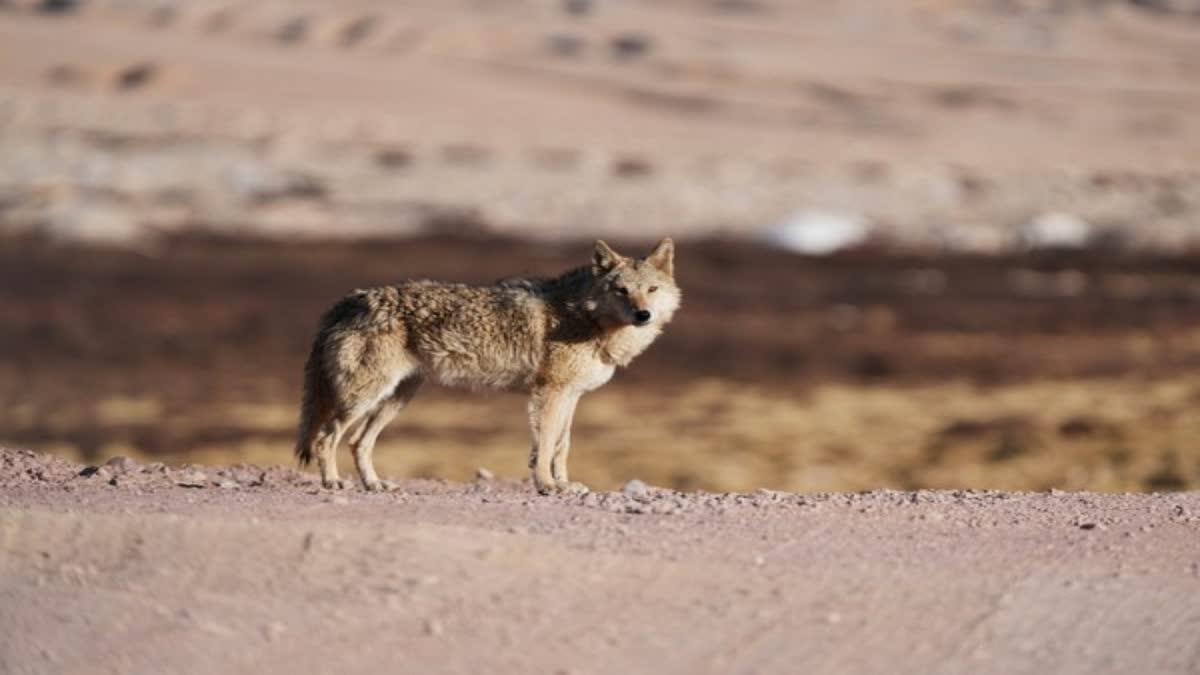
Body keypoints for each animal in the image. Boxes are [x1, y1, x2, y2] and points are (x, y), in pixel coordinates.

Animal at [295, 239, 681, 492]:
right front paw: (546, 485)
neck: (585, 317)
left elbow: (562, 445)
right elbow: (544, 445)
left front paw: (564, 483)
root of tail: (349, 299)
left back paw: (375, 484)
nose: (643, 315)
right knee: (326, 437)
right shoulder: (549, 393)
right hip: (363, 398)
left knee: (358, 442)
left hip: (396, 399)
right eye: (620, 290)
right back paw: (333, 482)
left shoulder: (571, 396)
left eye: (651, 289)